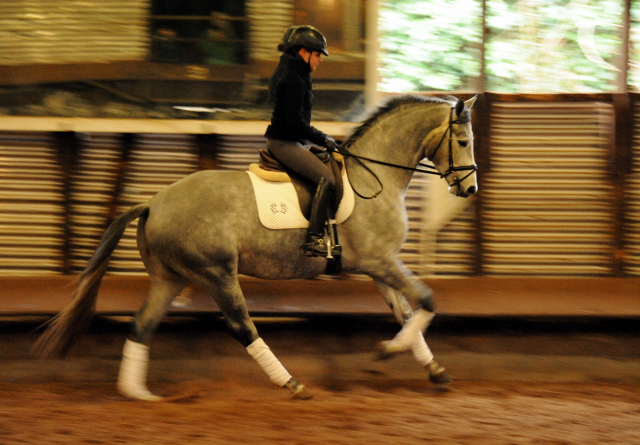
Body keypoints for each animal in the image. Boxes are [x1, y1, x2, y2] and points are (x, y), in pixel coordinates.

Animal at [33, 93, 476, 398]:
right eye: (463, 141)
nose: (469, 189)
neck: (374, 176)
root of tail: (154, 202)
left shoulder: (378, 265)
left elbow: (407, 313)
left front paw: (433, 369)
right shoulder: (380, 261)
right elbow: (427, 301)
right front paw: (387, 351)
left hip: (169, 278)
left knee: (143, 325)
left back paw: (137, 394)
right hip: (217, 272)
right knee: (241, 326)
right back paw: (291, 384)